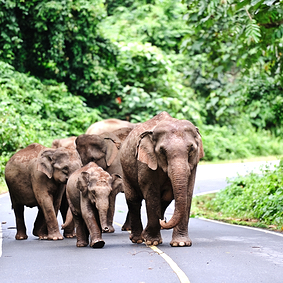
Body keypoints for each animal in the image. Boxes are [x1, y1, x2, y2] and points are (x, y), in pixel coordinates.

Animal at [119, 112, 204, 247]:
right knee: (133, 200)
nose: (164, 220)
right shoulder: (145, 162)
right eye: (162, 151)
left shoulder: (194, 164)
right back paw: (138, 239)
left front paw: (181, 243)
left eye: (191, 149)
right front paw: (152, 241)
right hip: (125, 170)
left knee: (165, 199)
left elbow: (188, 192)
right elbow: (151, 193)